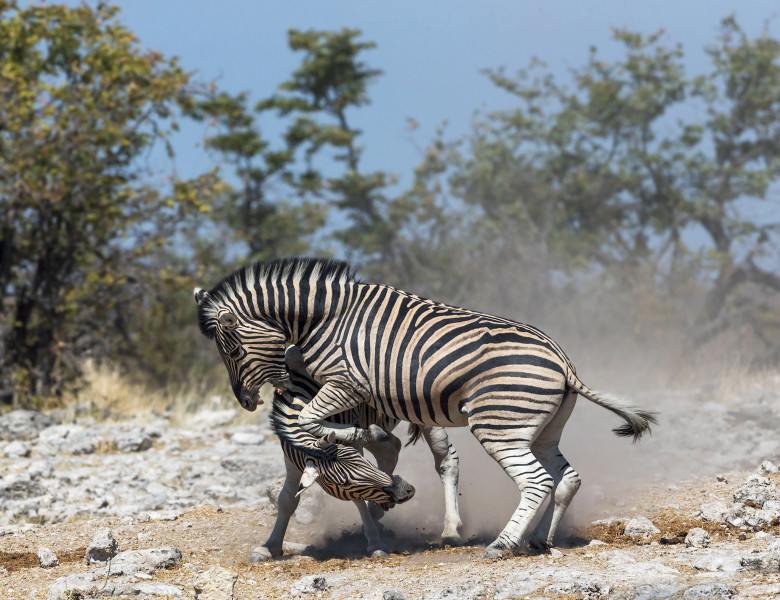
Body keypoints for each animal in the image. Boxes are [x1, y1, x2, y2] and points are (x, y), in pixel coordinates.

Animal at [193, 256, 652, 556]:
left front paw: (356, 439)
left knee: (533, 480)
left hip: (498, 427)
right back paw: (539, 540)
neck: (323, 319)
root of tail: (564, 362)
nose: (246, 401)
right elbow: (305, 465)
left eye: (231, 350)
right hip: (541, 430)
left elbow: (311, 420)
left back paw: (500, 543)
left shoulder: (345, 383)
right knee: (566, 478)